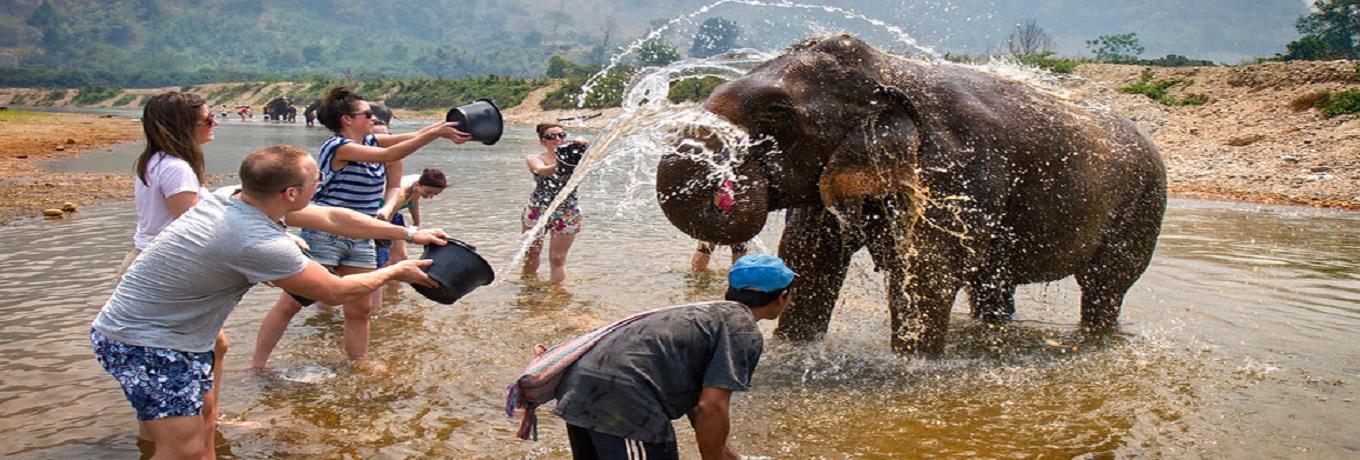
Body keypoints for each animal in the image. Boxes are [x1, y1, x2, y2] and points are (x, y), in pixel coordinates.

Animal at [655, 35, 1166, 357]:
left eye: (778, 110)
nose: (729, 183)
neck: (890, 67)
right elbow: (810, 256)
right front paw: (793, 349)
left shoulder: (955, 173)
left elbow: (925, 272)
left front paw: (912, 366)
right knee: (992, 285)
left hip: (1143, 205)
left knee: (1105, 285)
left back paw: (1095, 339)